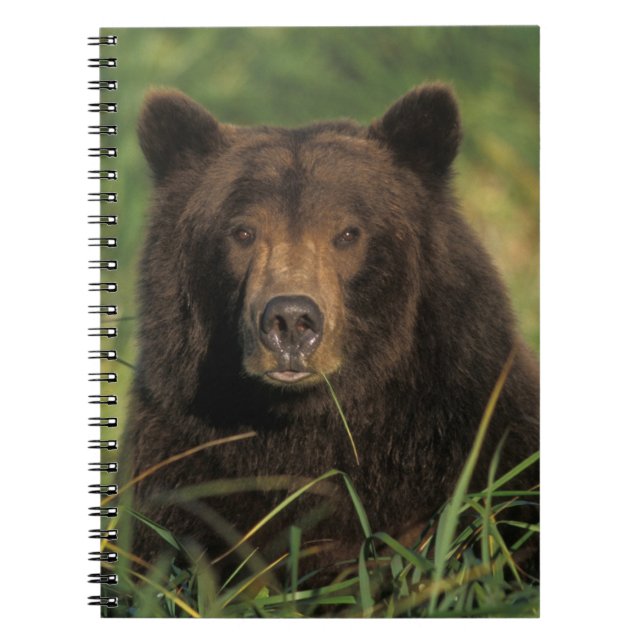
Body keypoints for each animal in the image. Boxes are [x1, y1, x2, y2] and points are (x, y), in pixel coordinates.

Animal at [126, 83, 539, 584]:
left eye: (347, 233)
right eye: (242, 232)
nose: (290, 321)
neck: (309, 422)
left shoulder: (473, 434)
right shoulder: (185, 460)